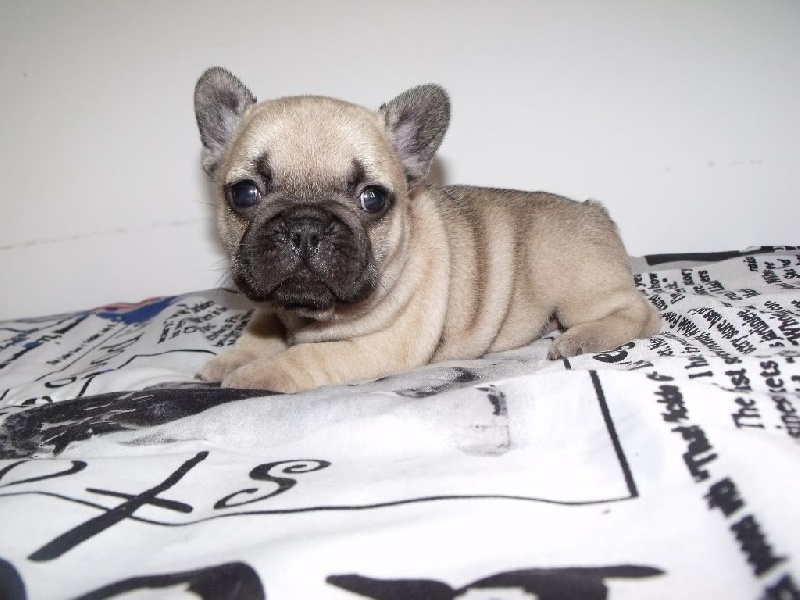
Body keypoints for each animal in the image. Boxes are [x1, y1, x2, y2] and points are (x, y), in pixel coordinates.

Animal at [193, 67, 660, 392]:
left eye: (373, 199)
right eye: (244, 193)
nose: (306, 226)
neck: (304, 313)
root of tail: (594, 210)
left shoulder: (378, 347)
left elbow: (305, 359)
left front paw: (254, 375)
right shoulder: (271, 304)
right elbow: (259, 327)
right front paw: (231, 359)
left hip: (577, 289)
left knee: (641, 314)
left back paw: (580, 338)